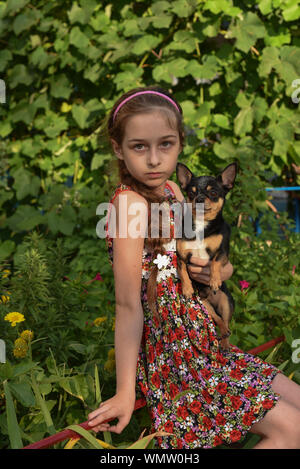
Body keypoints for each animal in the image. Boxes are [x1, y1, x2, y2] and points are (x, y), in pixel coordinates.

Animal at [176, 163, 237, 350]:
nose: (200, 198)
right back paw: (223, 333)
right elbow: (183, 271)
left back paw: (225, 343)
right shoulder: (181, 256)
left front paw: (214, 280)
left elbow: (215, 262)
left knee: (226, 321)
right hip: (206, 305)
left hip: (226, 302)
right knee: (219, 320)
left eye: (214, 193)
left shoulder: (223, 252)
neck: (201, 226)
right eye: (192, 192)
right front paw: (187, 289)